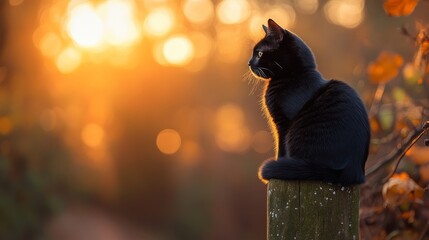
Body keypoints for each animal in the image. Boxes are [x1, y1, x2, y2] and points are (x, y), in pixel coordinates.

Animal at [249, 19, 370, 185]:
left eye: (259, 53)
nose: (249, 63)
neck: (294, 74)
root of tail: (351, 170)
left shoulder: (283, 124)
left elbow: (281, 148)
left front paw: (278, 164)